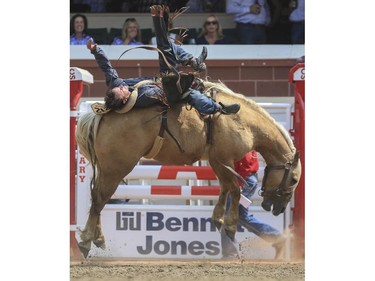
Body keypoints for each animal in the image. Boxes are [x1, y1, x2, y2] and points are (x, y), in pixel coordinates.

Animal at [76, 80, 302, 258]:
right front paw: (229, 226)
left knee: (97, 198)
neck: (243, 121)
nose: (279, 208)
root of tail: (100, 116)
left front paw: (218, 218)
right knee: (100, 199)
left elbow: (225, 188)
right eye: (293, 180)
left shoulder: (217, 160)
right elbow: (235, 190)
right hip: (116, 167)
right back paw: (86, 242)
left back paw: (98, 239)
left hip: (107, 169)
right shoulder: (224, 158)